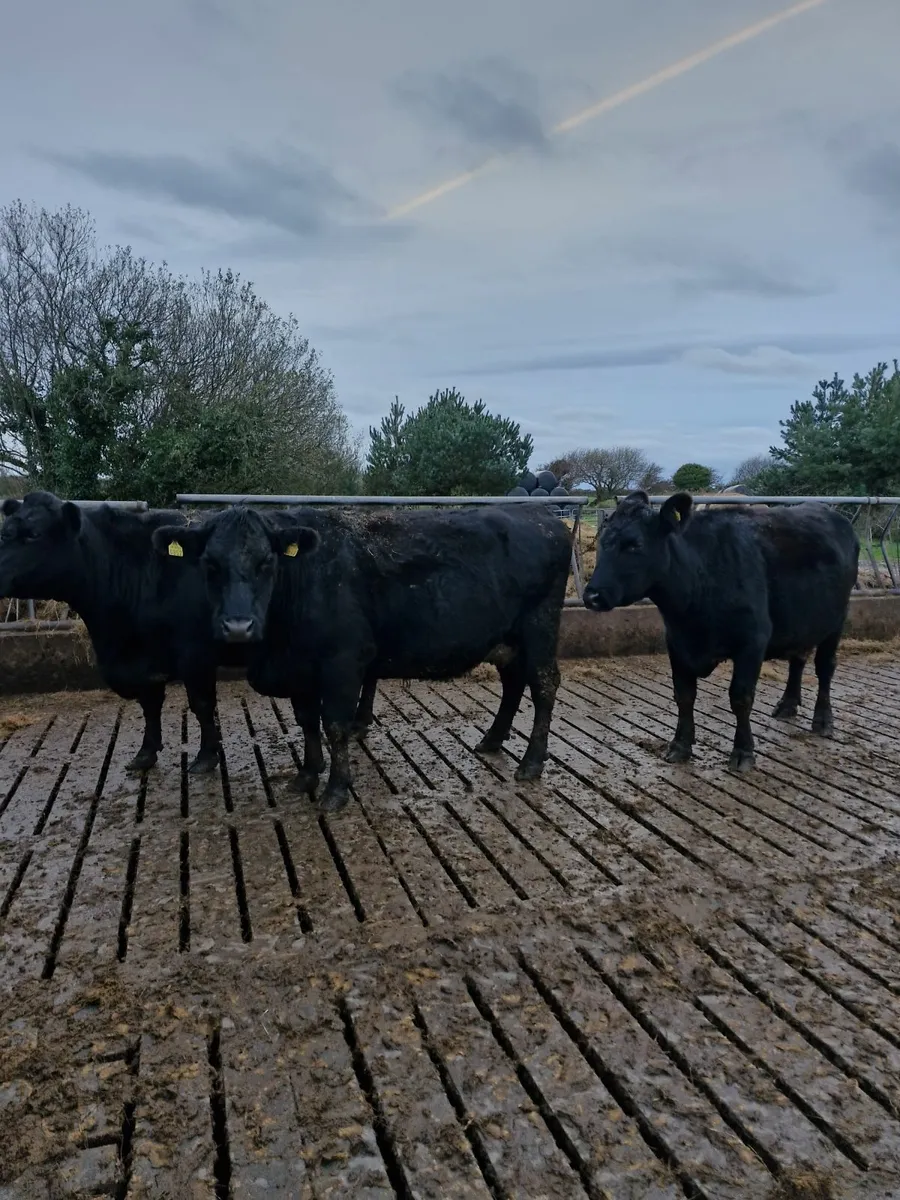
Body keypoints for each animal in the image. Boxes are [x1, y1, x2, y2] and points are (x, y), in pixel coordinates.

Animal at [0, 491, 246, 775]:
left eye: (34, 534)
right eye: (4, 533)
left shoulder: (195, 655)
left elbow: (201, 705)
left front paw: (206, 756)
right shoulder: (144, 662)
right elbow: (150, 706)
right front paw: (145, 753)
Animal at [151, 503, 573, 813]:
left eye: (266, 562)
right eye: (210, 565)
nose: (237, 626)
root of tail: (544, 518)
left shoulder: (342, 663)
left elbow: (335, 725)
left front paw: (336, 790)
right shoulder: (301, 668)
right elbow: (307, 721)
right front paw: (307, 774)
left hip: (539, 628)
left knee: (544, 686)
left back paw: (531, 762)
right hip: (508, 639)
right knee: (514, 682)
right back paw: (492, 740)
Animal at [582, 491, 859, 772]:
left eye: (634, 545)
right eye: (603, 541)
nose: (592, 595)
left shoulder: (752, 643)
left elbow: (741, 698)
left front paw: (743, 751)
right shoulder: (676, 643)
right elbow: (684, 695)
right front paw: (680, 745)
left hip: (837, 619)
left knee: (825, 667)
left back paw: (823, 720)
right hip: (802, 622)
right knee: (798, 659)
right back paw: (787, 705)